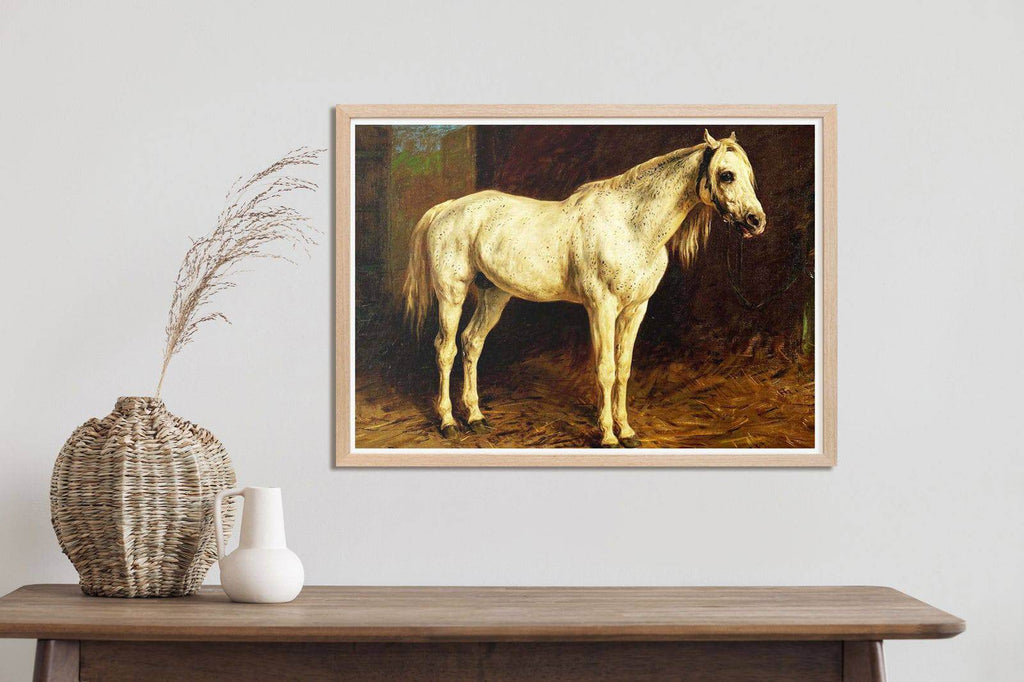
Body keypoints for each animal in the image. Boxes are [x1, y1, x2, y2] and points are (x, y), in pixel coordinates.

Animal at [402, 130, 766, 447]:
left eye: (749, 175)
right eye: (727, 175)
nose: (756, 221)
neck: (630, 226)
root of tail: (447, 207)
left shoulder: (636, 310)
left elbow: (624, 369)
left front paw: (627, 431)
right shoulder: (601, 307)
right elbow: (605, 369)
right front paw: (608, 435)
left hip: (494, 294)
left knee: (472, 343)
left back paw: (476, 418)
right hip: (452, 294)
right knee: (446, 349)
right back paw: (449, 422)